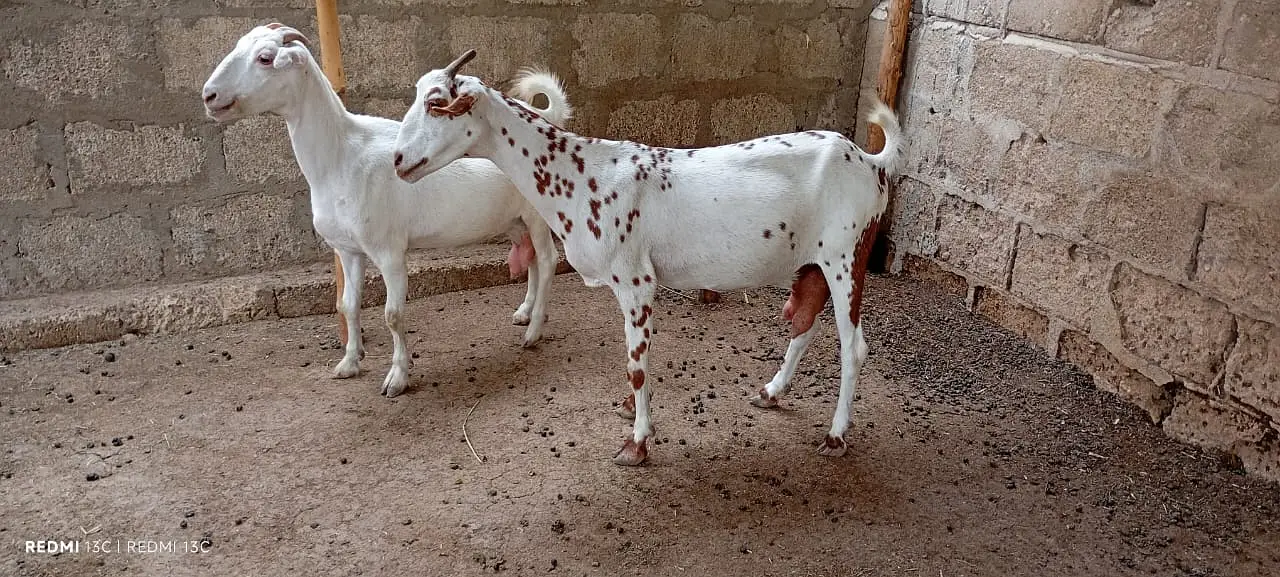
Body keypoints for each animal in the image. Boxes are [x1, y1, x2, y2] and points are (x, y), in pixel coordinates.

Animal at [202, 27, 572, 397]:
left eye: (265, 58)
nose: (209, 95)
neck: (341, 156)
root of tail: (546, 120)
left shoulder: (389, 250)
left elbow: (393, 315)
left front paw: (397, 377)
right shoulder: (348, 250)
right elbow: (347, 305)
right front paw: (349, 363)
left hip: (538, 215)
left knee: (548, 259)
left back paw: (533, 332)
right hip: (514, 220)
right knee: (531, 258)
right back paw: (525, 312)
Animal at [393, 50, 904, 465]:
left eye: (436, 102)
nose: (398, 161)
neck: (581, 175)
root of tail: (871, 162)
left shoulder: (636, 279)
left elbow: (637, 364)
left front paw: (637, 443)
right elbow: (634, 360)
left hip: (846, 258)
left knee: (853, 346)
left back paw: (836, 436)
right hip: (812, 263)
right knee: (805, 324)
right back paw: (771, 392)